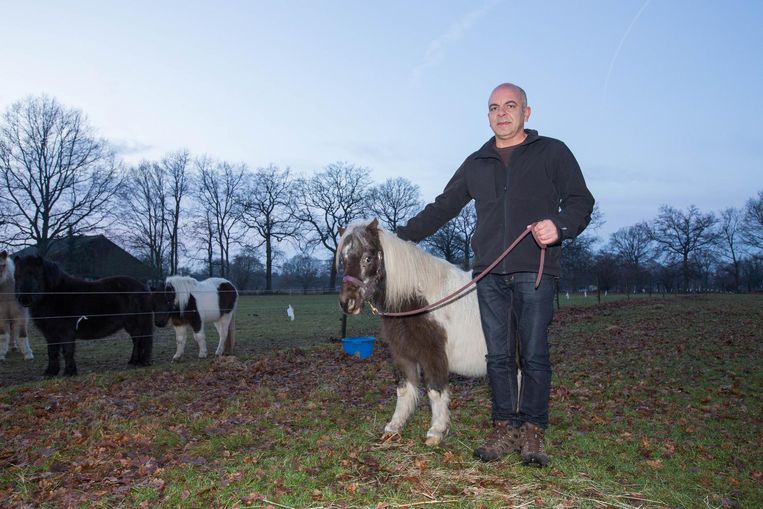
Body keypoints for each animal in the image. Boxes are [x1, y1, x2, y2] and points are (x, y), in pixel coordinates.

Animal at [13, 256, 154, 376]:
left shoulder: (66, 333)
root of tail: (143, 287)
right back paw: (136, 361)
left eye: (36, 276)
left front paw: (69, 372)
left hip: (134, 324)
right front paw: (50, 372)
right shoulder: (50, 334)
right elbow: (52, 352)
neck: (58, 296)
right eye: (17, 276)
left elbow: (67, 351)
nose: (24, 299)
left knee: (138, 340)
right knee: (138, 341)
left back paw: (135, 362)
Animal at [338, 218, 490, 444]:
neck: (418, 301)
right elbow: (404, 389)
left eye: (368, 258)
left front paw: (436, 431)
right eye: (343, 259)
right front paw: (394, 427)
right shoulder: (402, 353)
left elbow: (434, 391)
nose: (347, 303)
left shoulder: (432, 356)